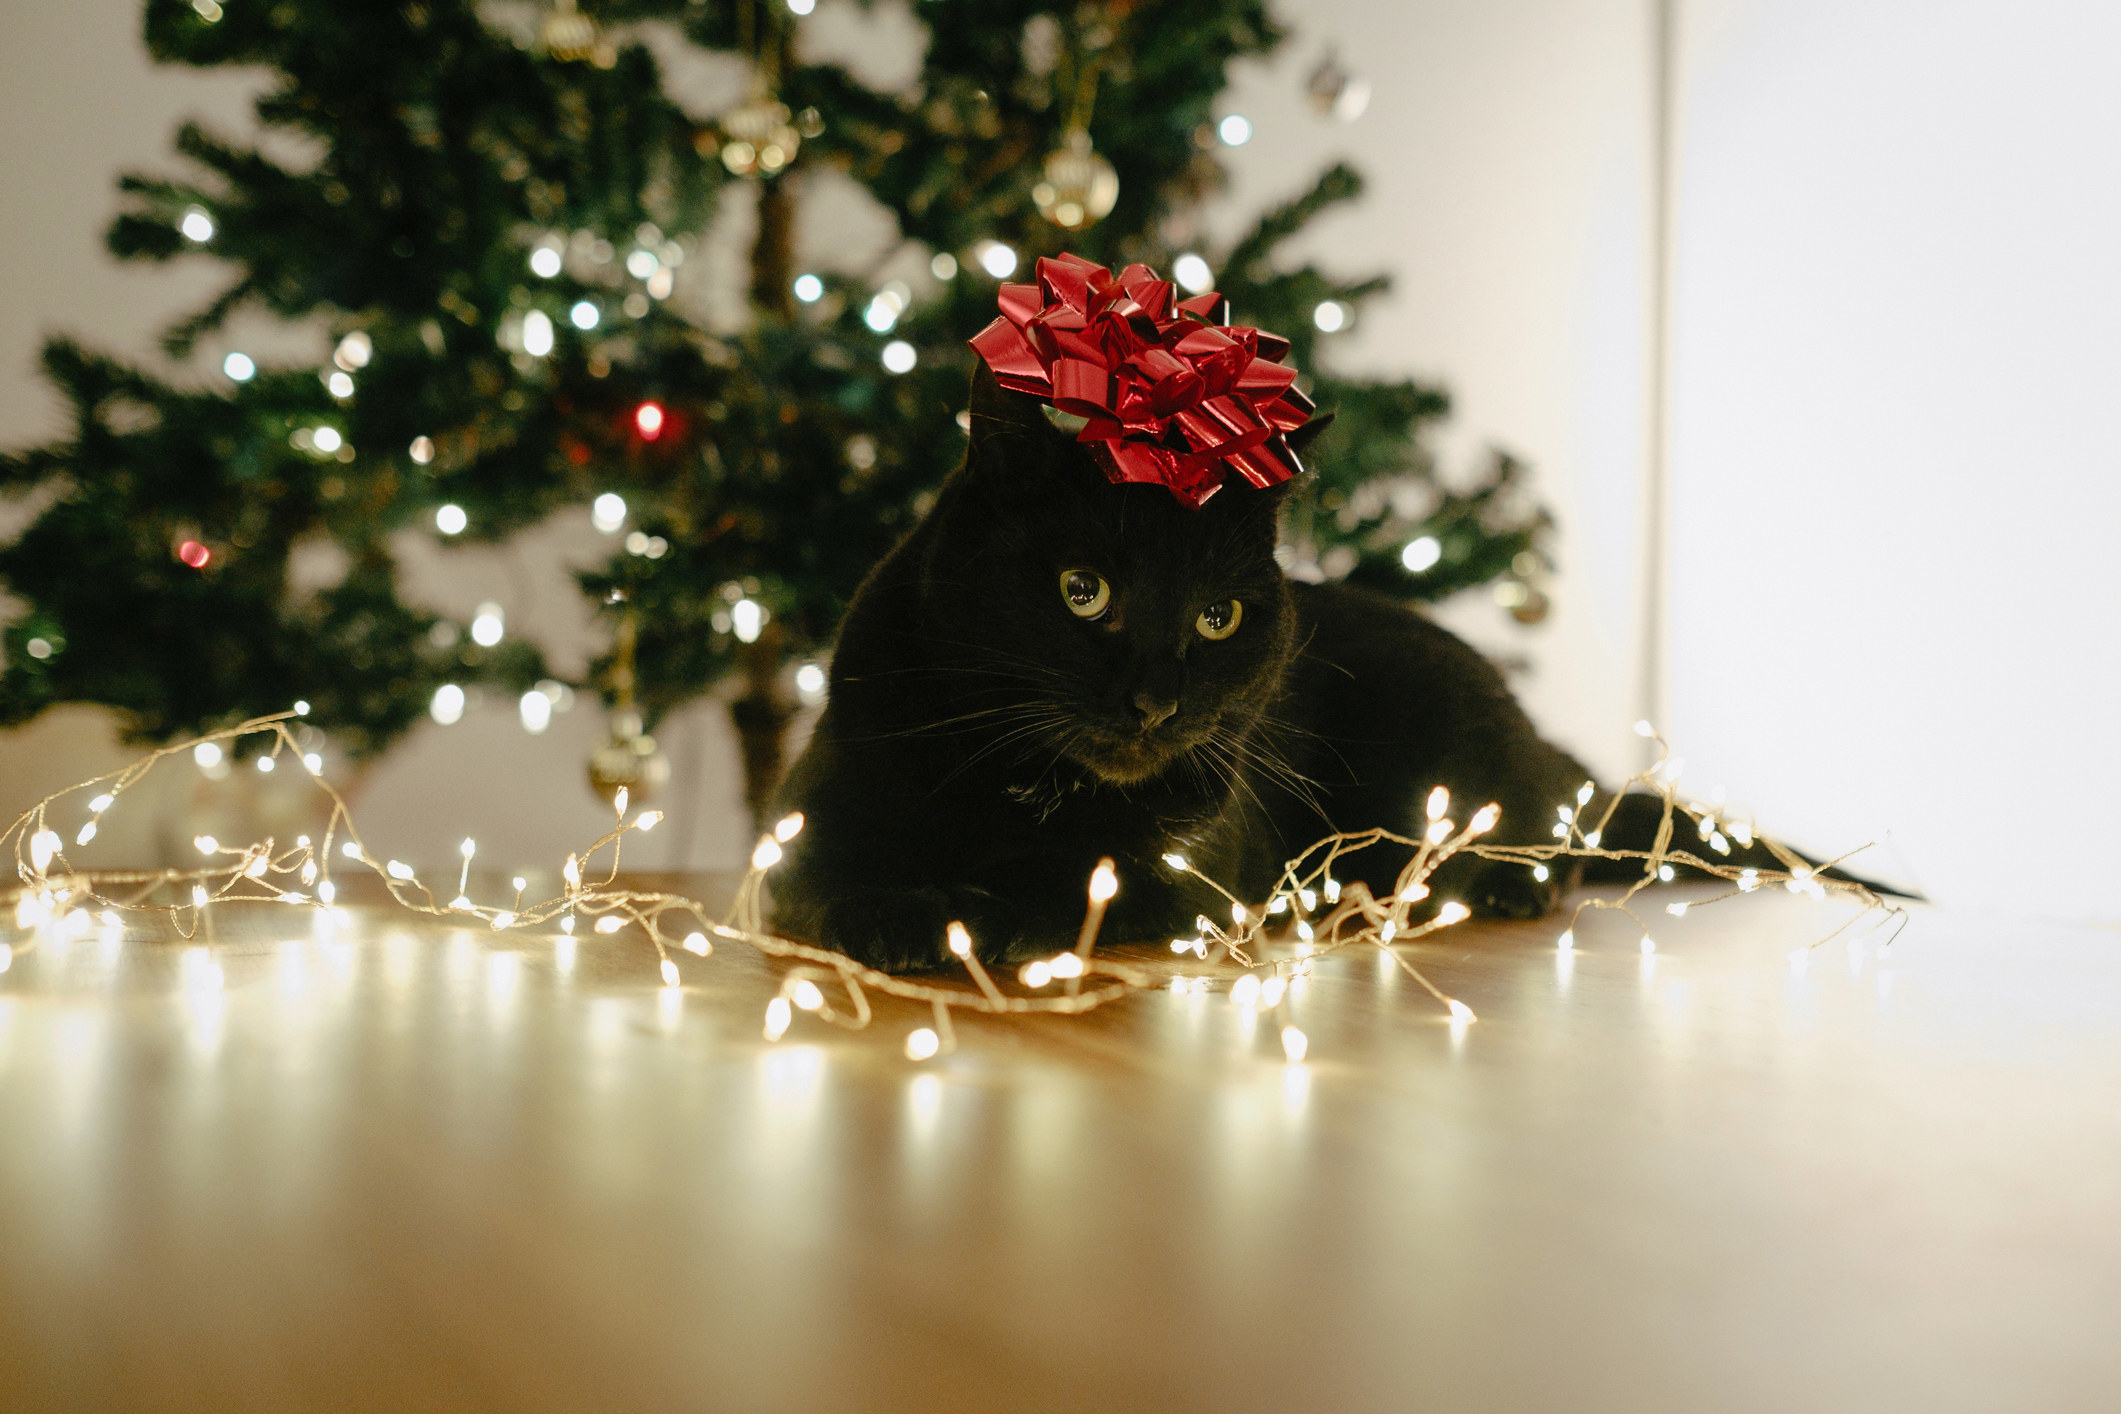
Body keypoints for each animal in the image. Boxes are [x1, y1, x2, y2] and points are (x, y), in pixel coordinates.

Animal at [767, 364, 1603, 979]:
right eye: (1082, 591)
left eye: (1217, 617)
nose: (1156, 704)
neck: (1017, 784)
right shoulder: (798, 831)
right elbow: (823, 880)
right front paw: (894, 916)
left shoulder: (1189, 876)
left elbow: (1070, 882)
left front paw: (970, 914)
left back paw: (1506, 885)